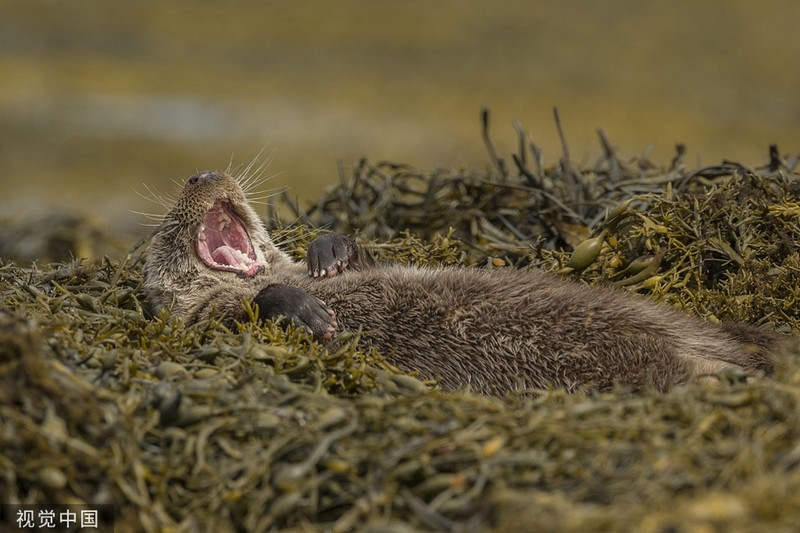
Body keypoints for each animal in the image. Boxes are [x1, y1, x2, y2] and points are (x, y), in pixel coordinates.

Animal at [141, 170, 784, 394]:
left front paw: (331, 249)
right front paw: (305, 309)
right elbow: (244, 310)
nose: (201, 172)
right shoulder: (203, 319)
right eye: (164, 235)